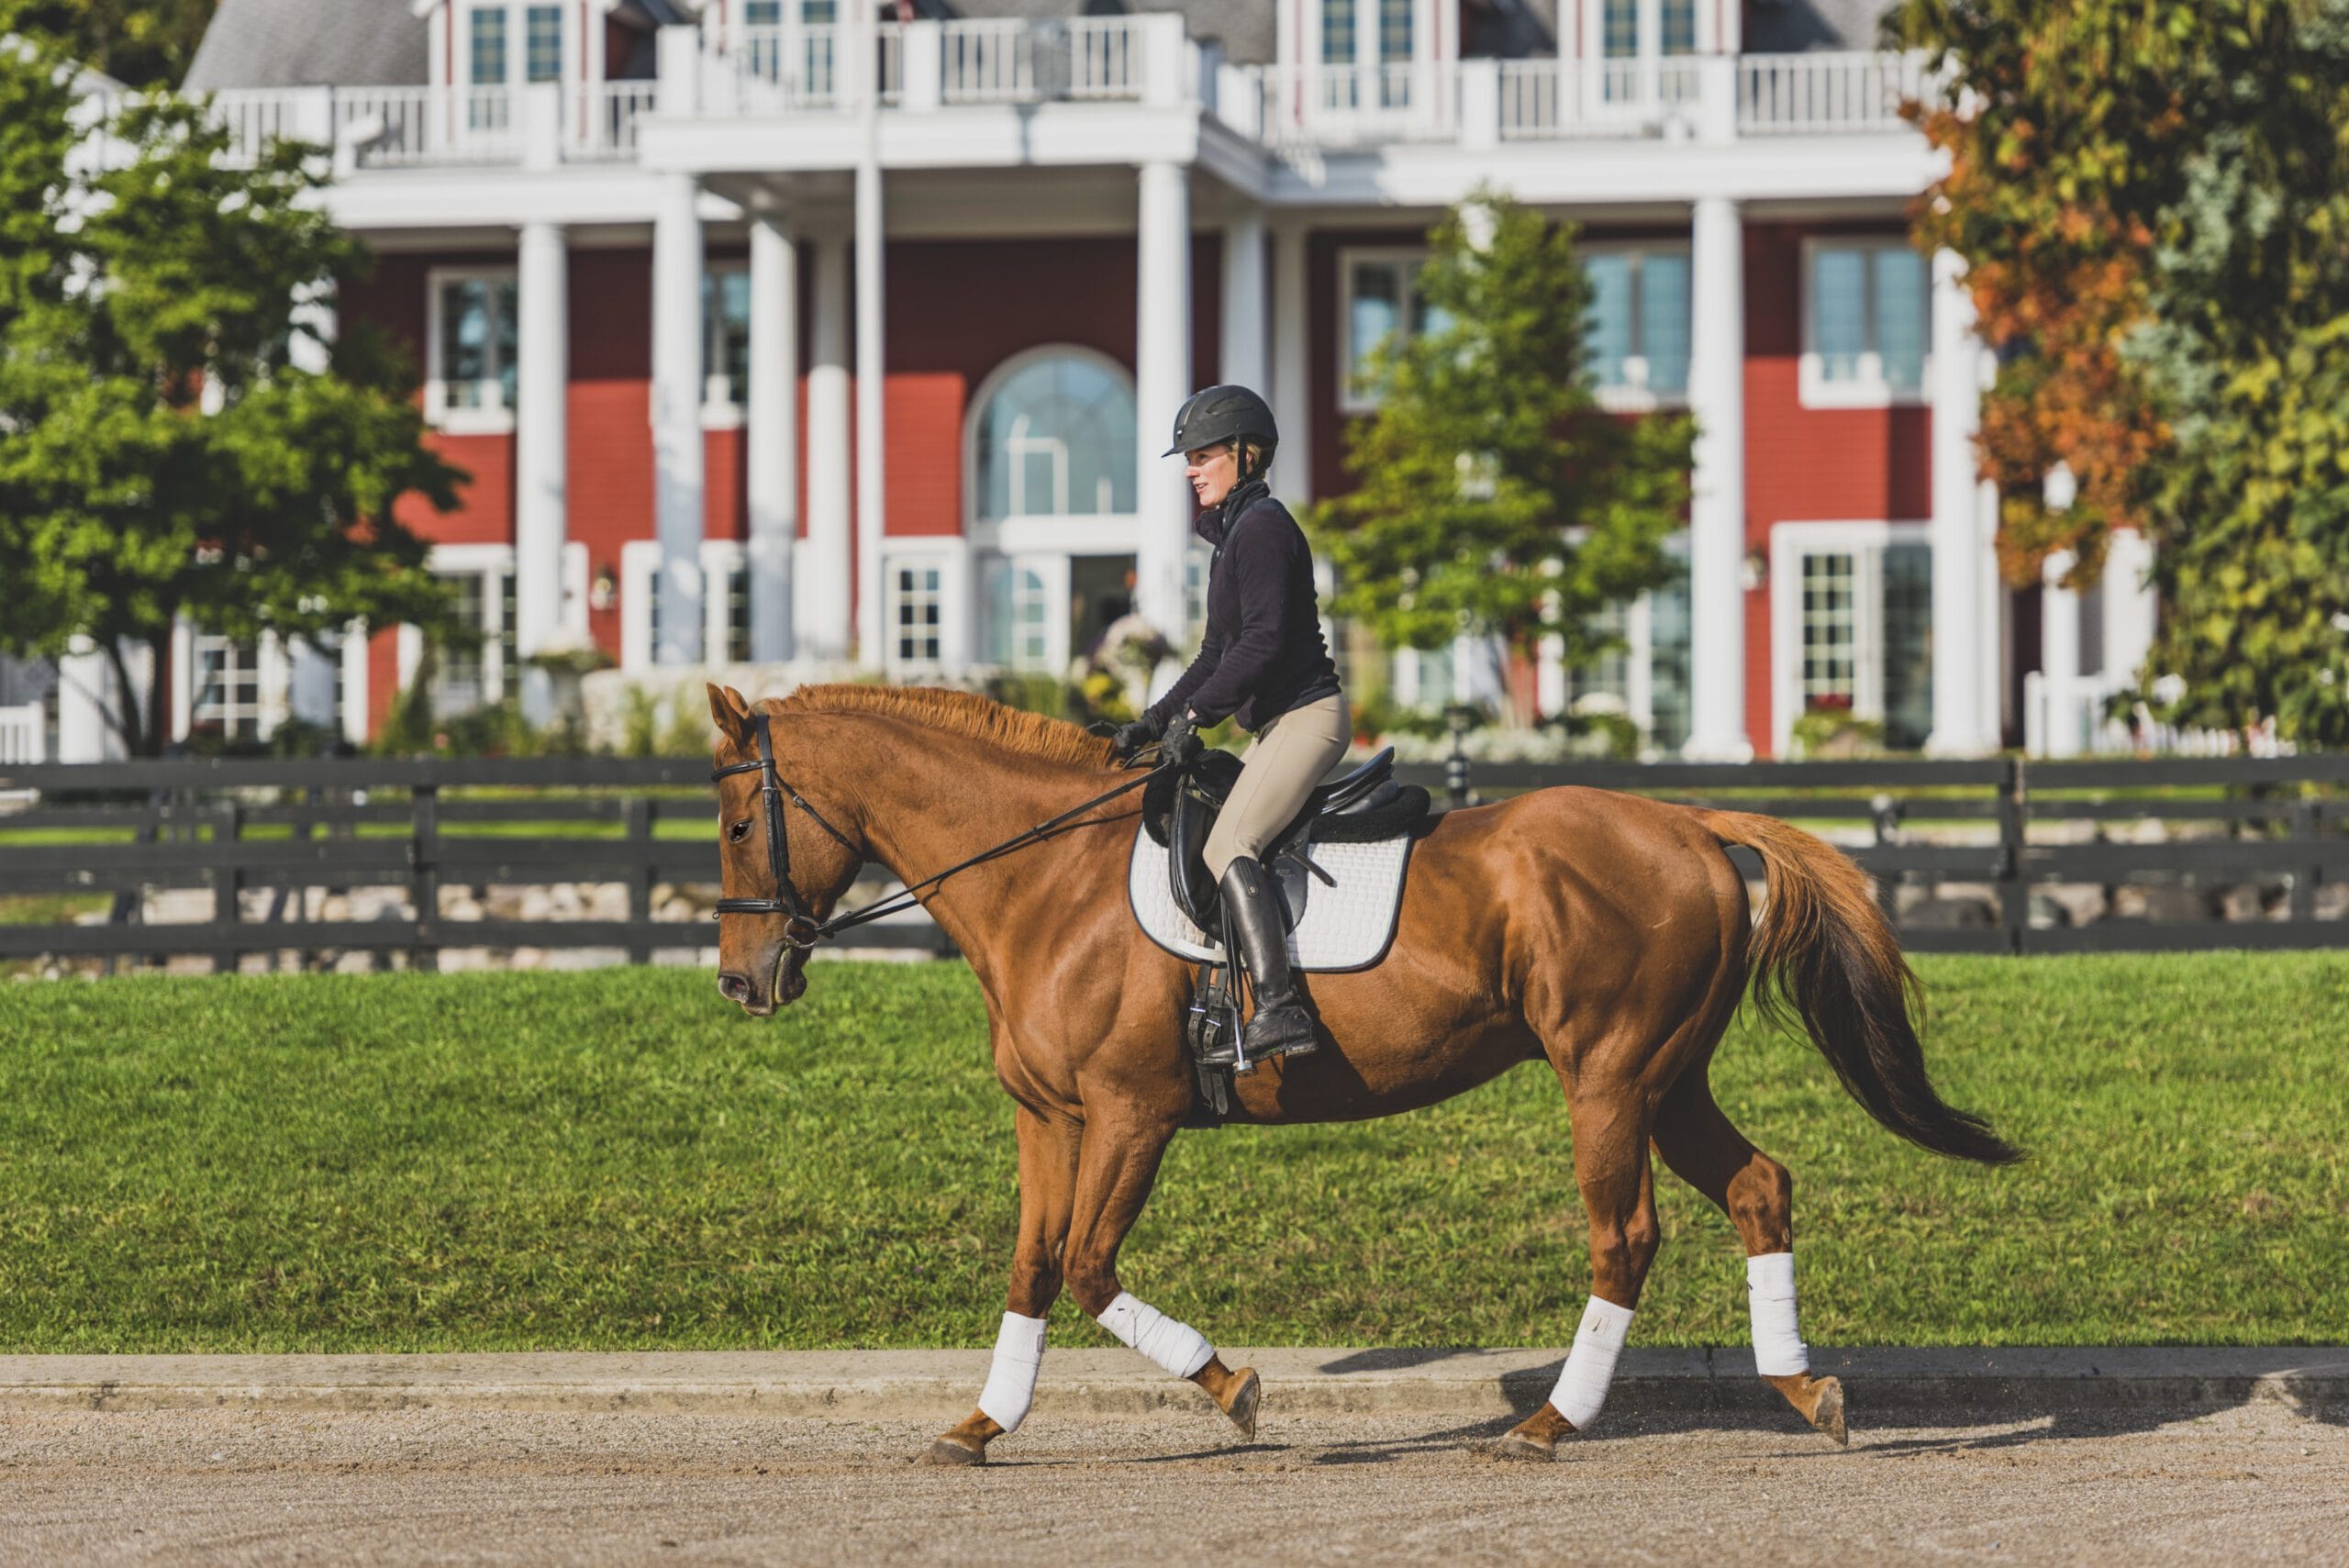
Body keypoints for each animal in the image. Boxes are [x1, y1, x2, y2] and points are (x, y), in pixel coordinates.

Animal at [699, 680, 2020, 1464]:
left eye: (733, 823)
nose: (742, 982)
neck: (1045, 878)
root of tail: (1692, 823)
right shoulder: (1050, 1116)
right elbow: (1031, 1266)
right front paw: (980, 1424)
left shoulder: (1133, 1113)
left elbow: (1085, 1267)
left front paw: (1234, 1390)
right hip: (1667, 1078)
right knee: (1757, 1188)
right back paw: (1804, 1391)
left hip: (1606, 1075)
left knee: (1626, 1234)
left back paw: (1548, 1422)